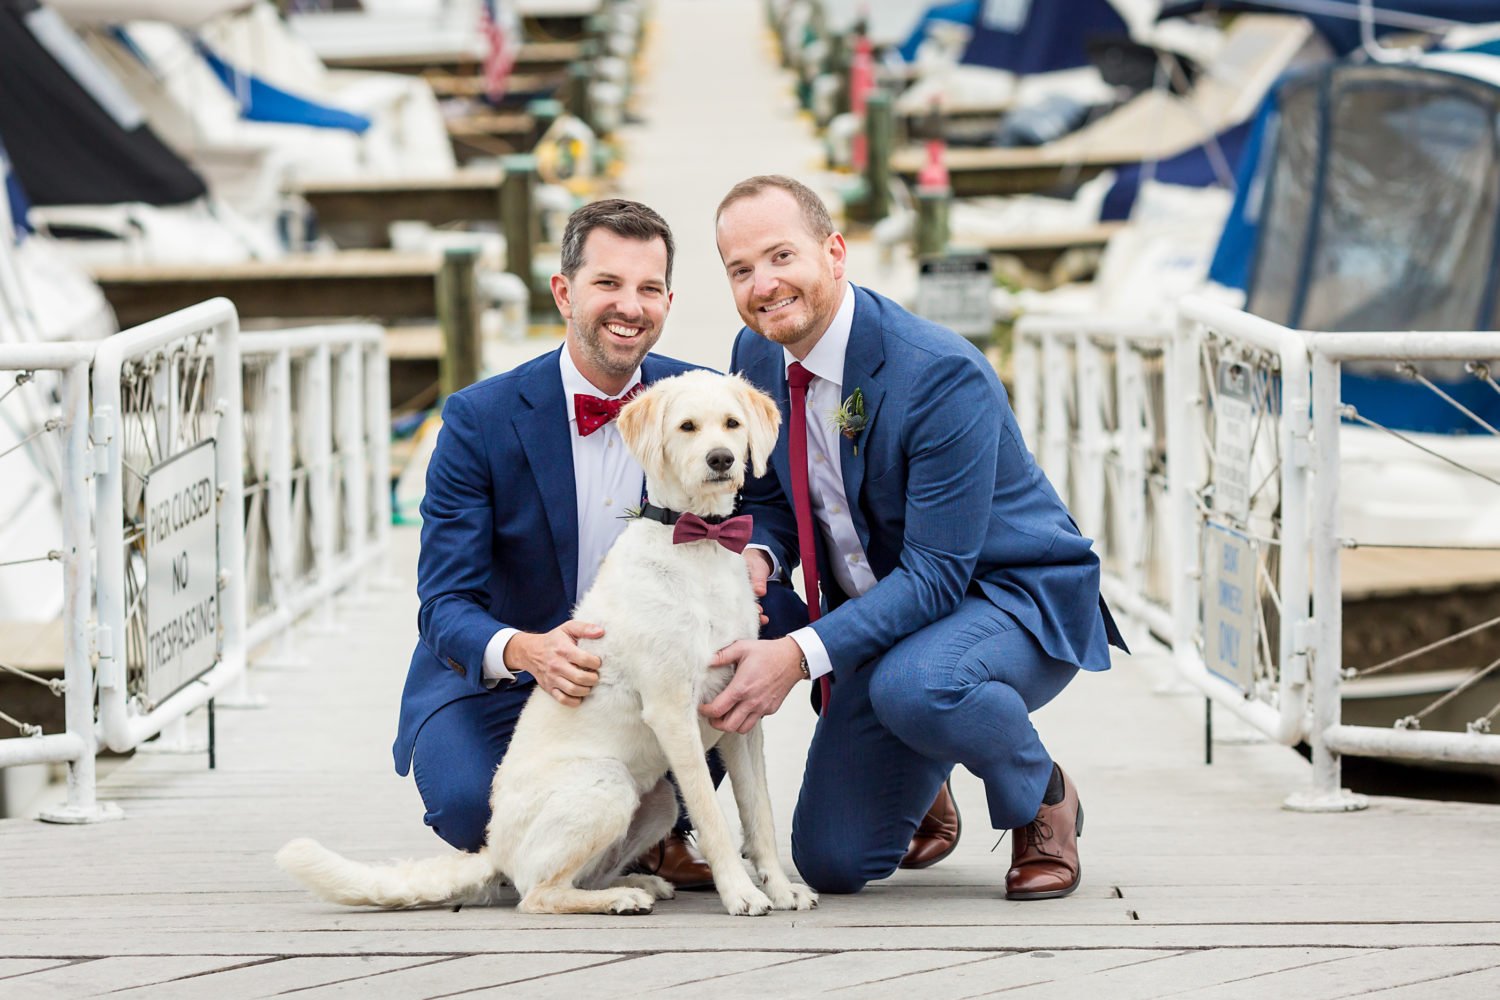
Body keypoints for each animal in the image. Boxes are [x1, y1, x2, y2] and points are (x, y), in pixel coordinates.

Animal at [282, 371, 822, 917]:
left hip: (656, 801)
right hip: (607, 785)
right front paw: (741, 893)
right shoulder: (672, 710)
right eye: (688, 426)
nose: (721, 459)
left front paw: (780, 888)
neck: (701, 544)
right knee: (538, 894)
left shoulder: (742, 712)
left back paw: (637, 883)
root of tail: (494, 849)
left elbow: (759, 814)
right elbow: (714, 818)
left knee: (579, 876)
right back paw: (621, 897)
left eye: (732, 424)